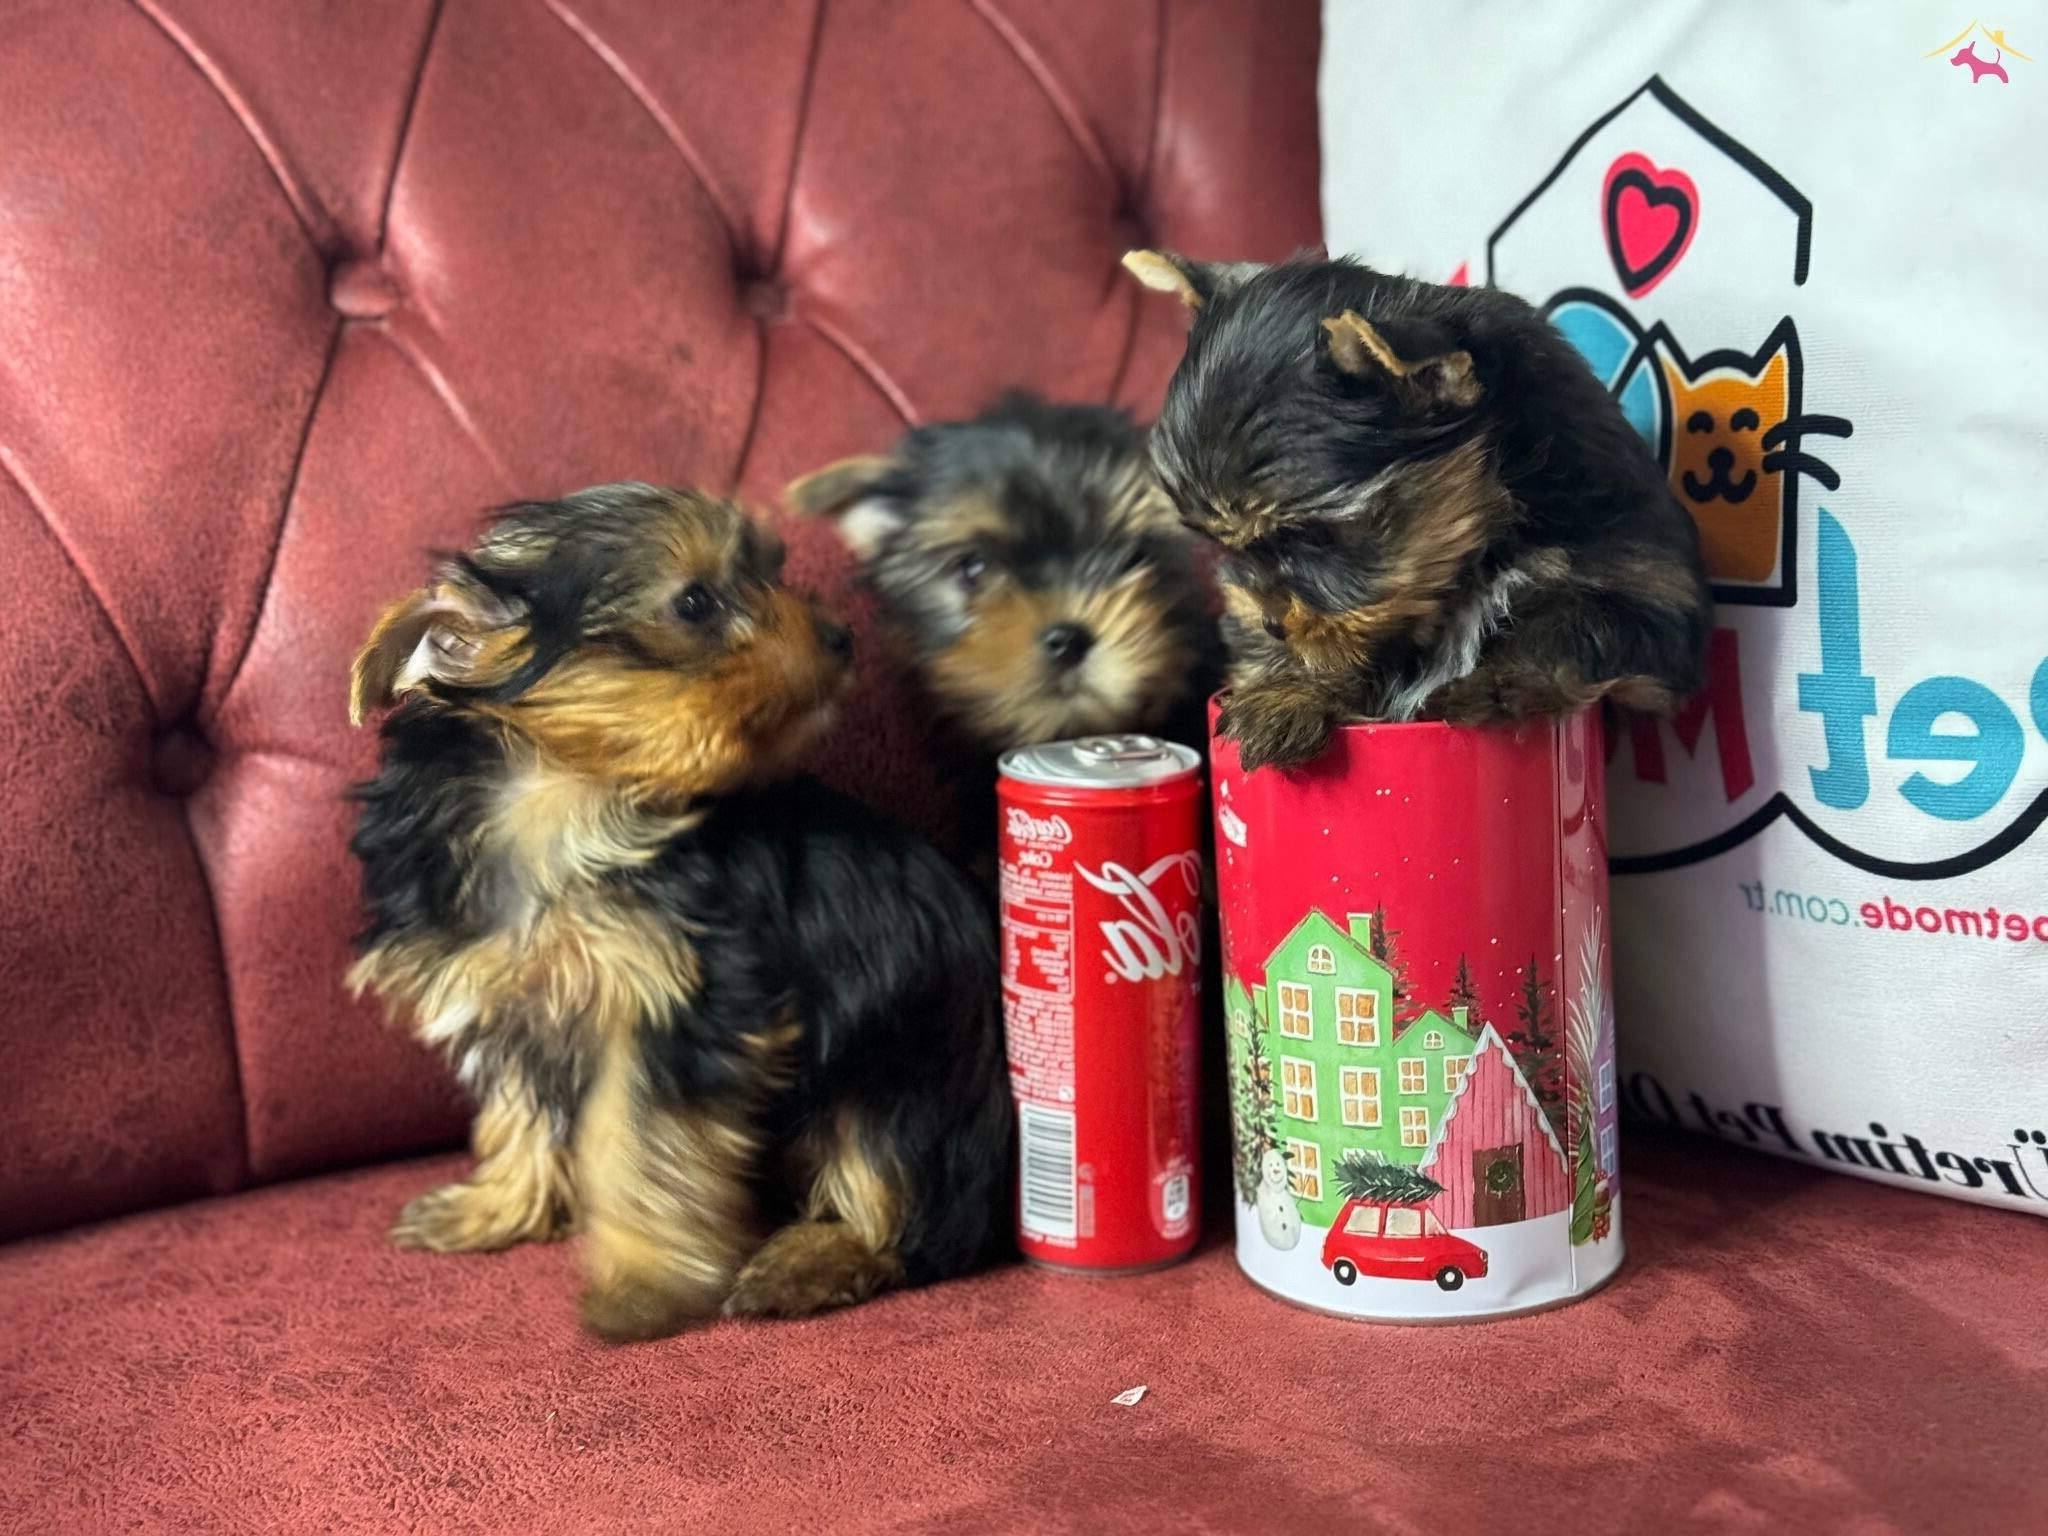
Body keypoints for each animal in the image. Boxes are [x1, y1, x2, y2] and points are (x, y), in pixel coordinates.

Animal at [347, 484, 1011, 1339]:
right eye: (695, 602)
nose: (840, 637)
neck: (567, 798)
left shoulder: (683, 998)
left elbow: (641, 1141)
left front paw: (640, 1286)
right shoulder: (515, 997)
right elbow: (520, 1111)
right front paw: (498, 1206)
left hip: (909, 1070)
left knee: (900, 1184)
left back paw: (814, 1258)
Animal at [1124, 250, 1712, 770]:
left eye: (1313, 538)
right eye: (1223, 546)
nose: (1270, 624)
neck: (1486, 545)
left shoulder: (1646, 583)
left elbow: (1577, 621)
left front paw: (1495, 683)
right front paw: (1288, 693)